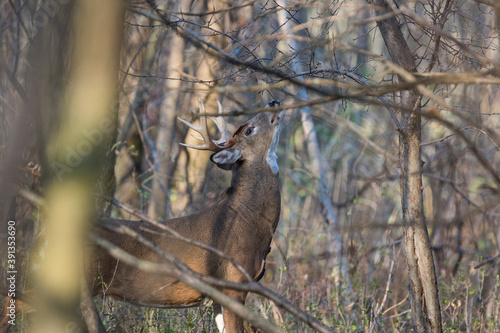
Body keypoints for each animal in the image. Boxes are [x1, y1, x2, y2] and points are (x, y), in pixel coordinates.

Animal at [1, 99, 286, 332]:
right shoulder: (233, 283)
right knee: (10, 301)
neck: (249, 221)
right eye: (249, 129)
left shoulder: (219, 293)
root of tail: (44, 236)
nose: (274, 101)